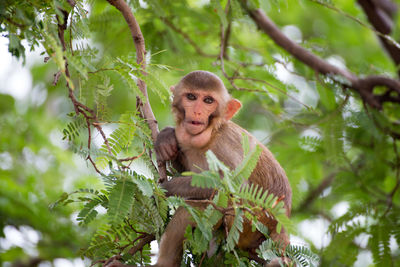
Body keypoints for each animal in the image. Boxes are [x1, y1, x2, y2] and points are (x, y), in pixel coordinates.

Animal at [152, 70, 290, 266]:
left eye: (208, 100)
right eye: (191, 97)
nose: (197, 111)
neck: (211, 134)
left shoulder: (226, 145)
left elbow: (236, 188)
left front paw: (167, 188)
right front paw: (166, 139)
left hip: (249, 222)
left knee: (196, 208)